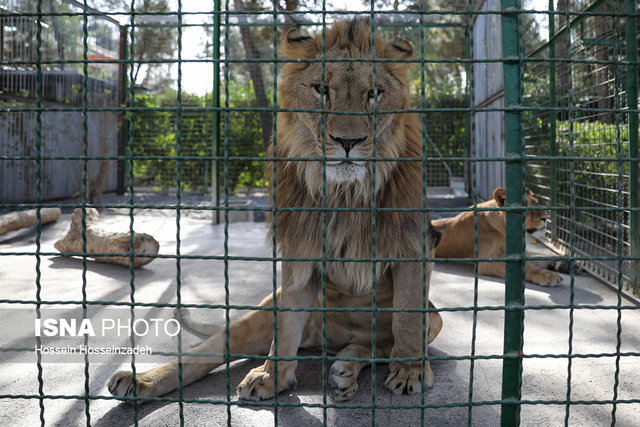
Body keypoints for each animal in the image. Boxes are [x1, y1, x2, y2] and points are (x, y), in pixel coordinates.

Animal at [109, 17, 440, 404]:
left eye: (374, 94)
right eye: (321, 90)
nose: (347, 142)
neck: (345, 193)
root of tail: (328, 340)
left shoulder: (415, 245)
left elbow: (405, 319)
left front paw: (410, 372)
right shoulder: (300, 251)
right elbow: (284, 330)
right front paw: (271, 377)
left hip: (435, 318)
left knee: (381, 344)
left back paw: (347, 367)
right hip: (263, 311)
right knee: (205, 350)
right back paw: (139, 381)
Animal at [432, 187, 564, 288]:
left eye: (536, 202)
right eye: (526, 207)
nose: (546, 217)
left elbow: (539, 257)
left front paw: (559, 264)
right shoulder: (488, 261)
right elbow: (528, 267)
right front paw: (548, 275)